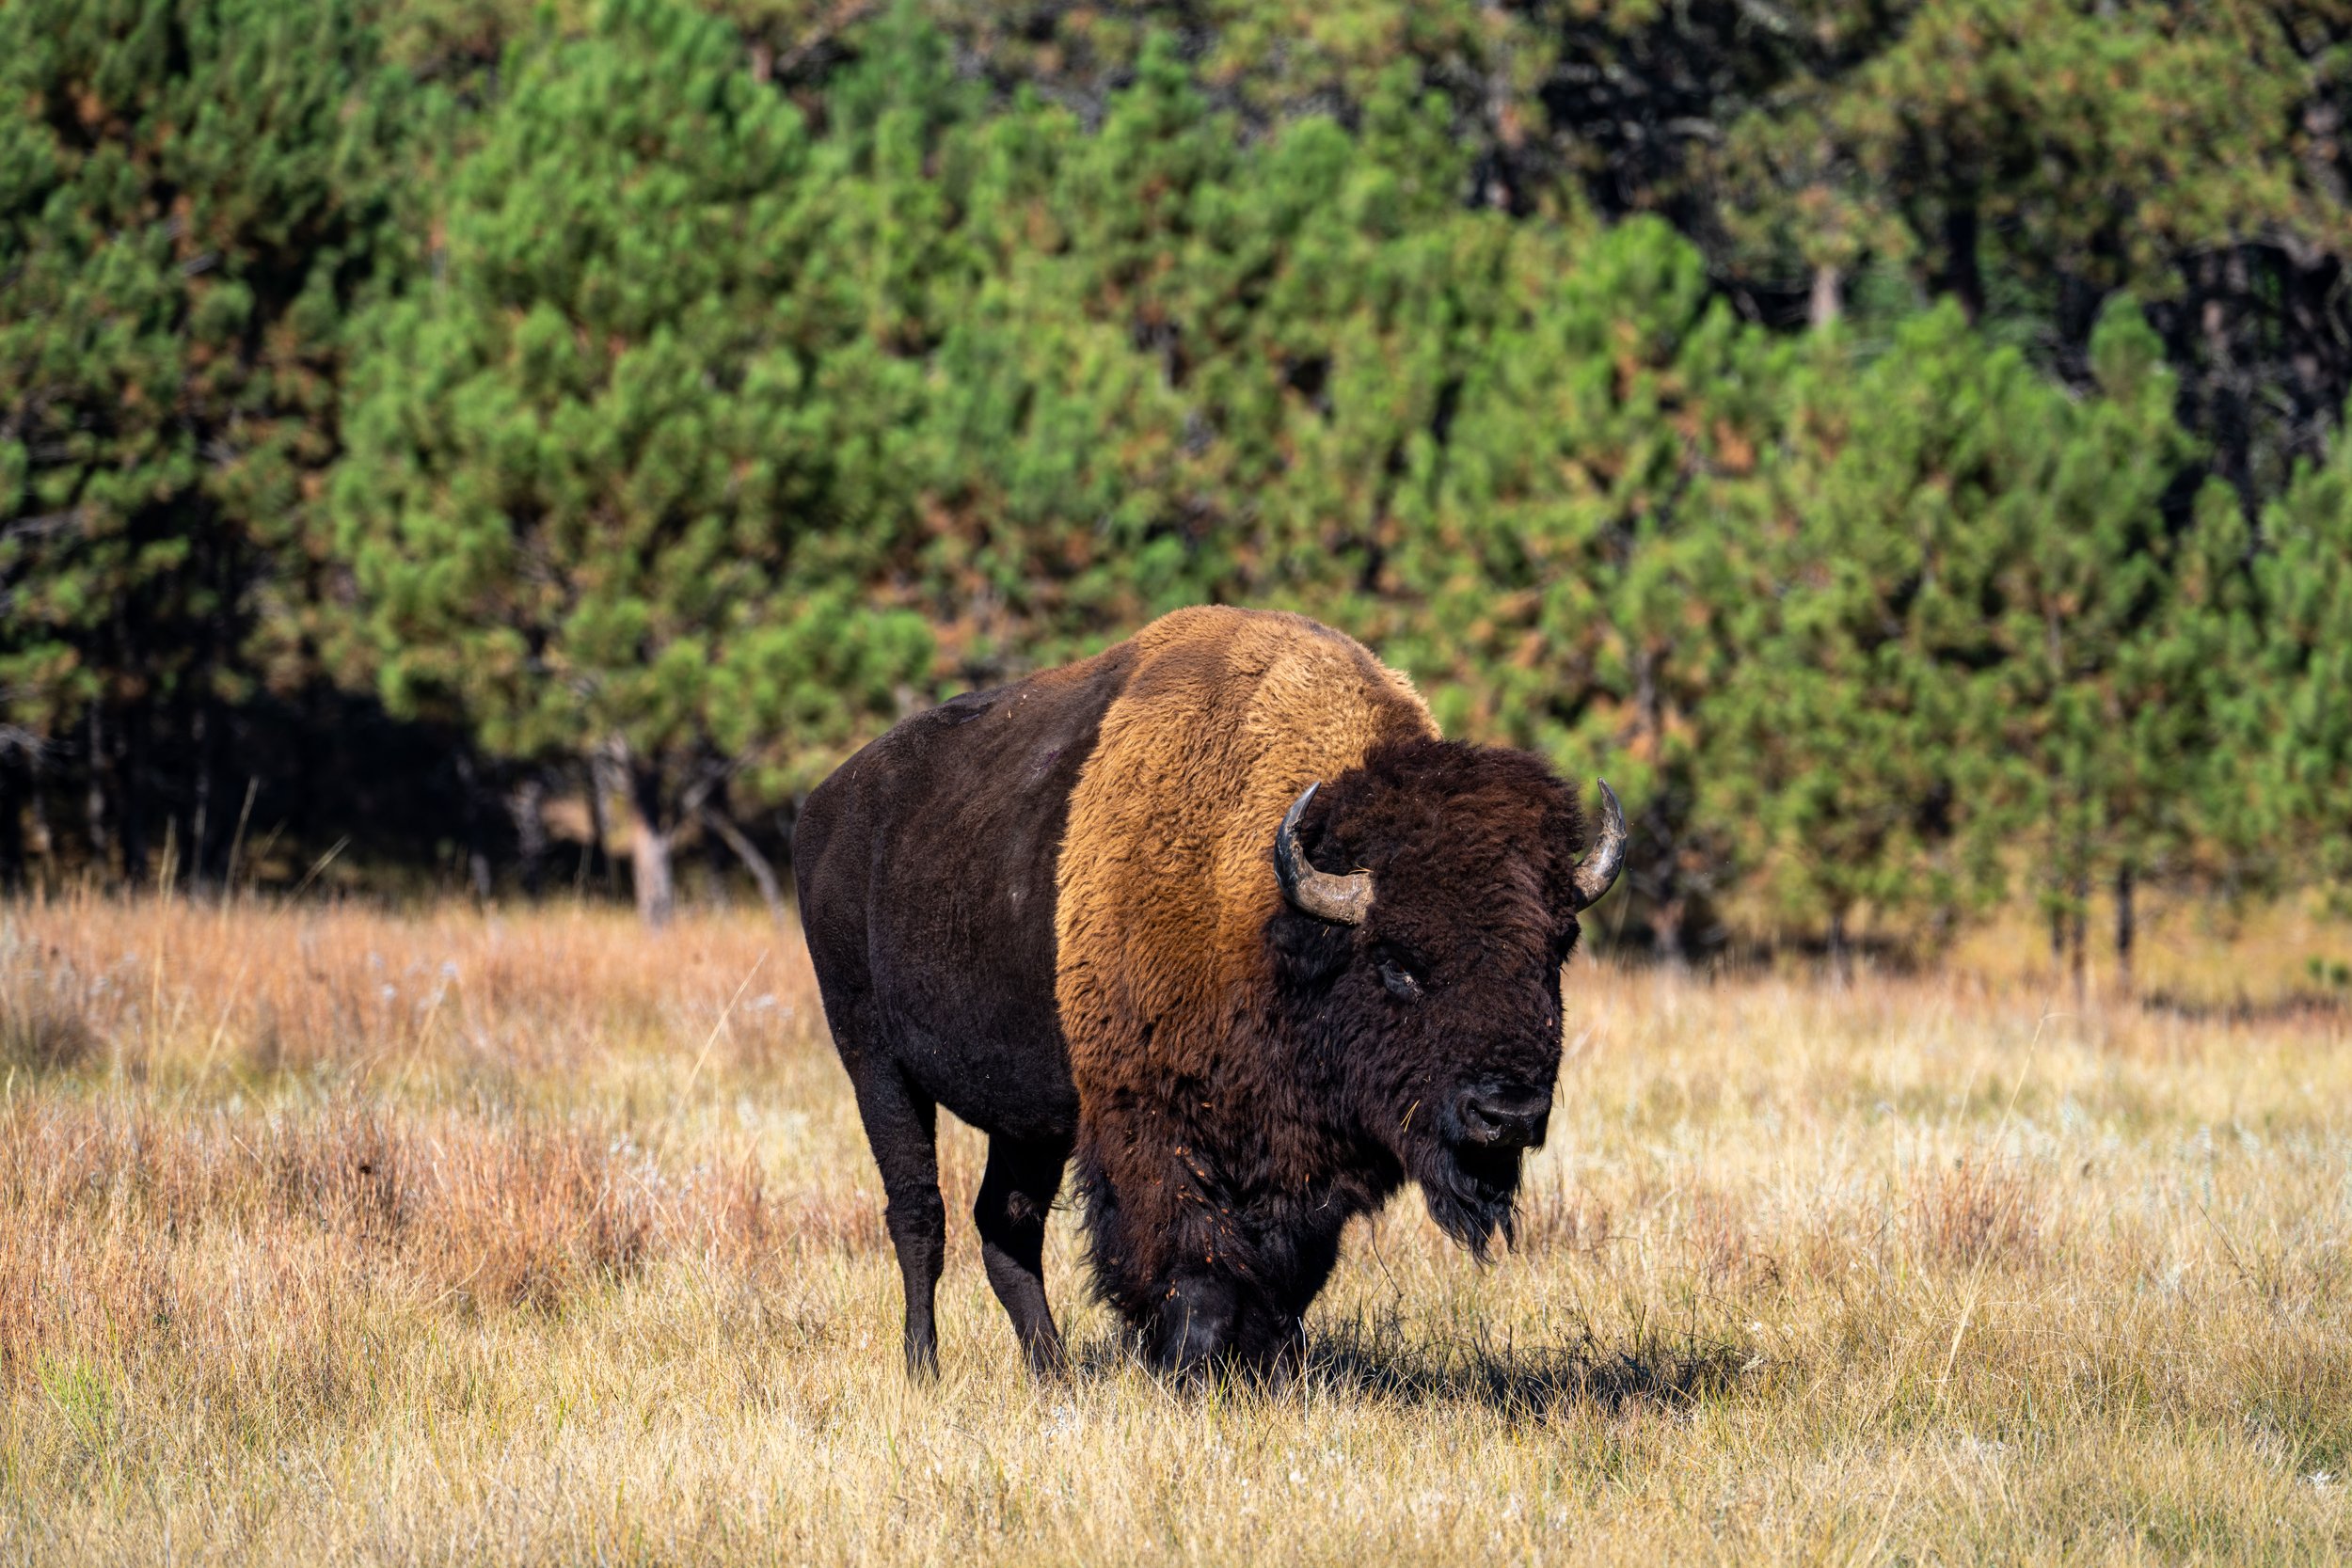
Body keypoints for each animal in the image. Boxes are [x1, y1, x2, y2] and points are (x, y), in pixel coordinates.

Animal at [793, 606, 1622, 1378]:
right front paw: (1189, 1371)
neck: (1267, 913)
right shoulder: (1154, 1123)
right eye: (1398, 964)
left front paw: (1272, 1370)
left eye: (1555, 949)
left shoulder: (1295, 1160)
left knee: (1007, 1222)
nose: (1506, 1114)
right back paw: (923, 1367)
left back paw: (1052, 1373)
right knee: (919, 1214)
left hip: (1026, 1116)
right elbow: (1196, 1268)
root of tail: (827, 804)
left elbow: (1288, 1277)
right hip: (874, 1063)